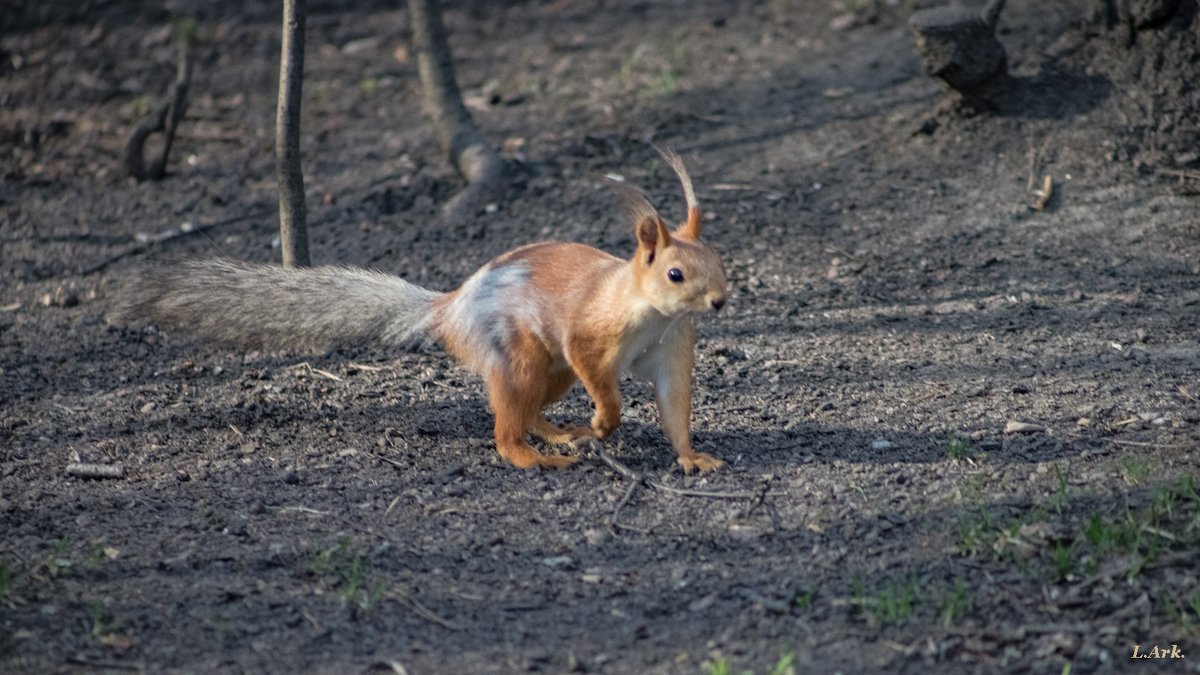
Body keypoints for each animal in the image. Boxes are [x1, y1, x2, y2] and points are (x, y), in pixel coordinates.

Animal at [119, 147, 729, 470]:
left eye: (720, 259)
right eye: (674, 273)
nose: (720, 300)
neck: (650, 312)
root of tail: (449, 309)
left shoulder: (674, 348)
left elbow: (675, 406)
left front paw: (692, 458)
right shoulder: (587, 333)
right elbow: (602, 379)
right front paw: (605, 419)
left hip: (548, 372)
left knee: (528, 408)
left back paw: (556, 434)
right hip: (523, 355)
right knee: (506, 429)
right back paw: (536, 456)